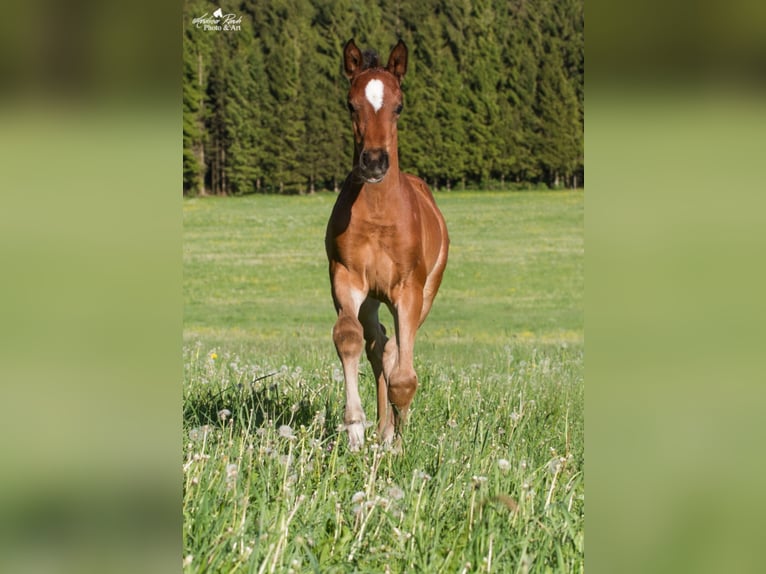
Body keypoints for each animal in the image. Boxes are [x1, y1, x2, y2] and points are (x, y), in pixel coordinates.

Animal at [326, 40, 450, 452]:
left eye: (399, 105)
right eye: (351, 104)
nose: (375, 162)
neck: (380, 215)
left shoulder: (408, 289)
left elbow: (404, 376)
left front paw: (399, 441)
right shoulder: (346, 278)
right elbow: (347, 338)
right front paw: (355, 427)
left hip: (425, 293)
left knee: (394, 350)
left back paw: (392, 431)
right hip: (372, 298)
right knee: (377, 345)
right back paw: (381, 429)